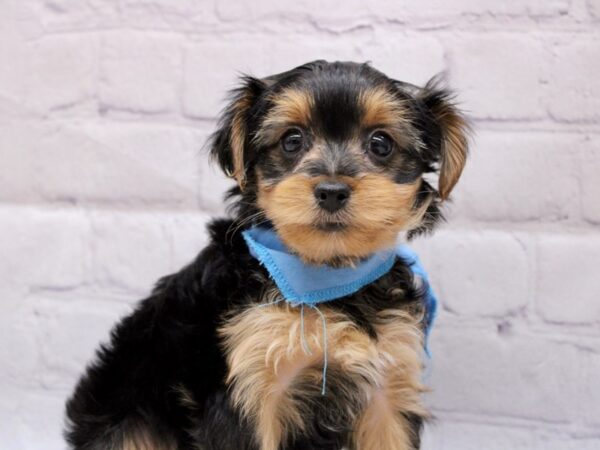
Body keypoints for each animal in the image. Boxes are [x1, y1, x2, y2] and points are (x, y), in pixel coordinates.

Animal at [65, 60, 468, 450]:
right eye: (292, 140)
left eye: (380, 143)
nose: (332, 191)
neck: (326, 276)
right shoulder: (246, 387)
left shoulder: (387, 386)